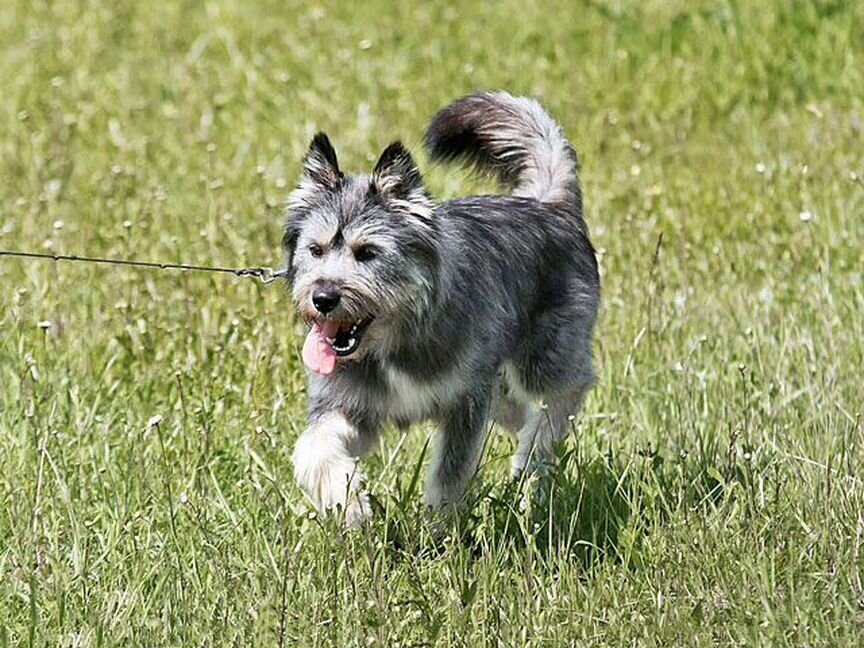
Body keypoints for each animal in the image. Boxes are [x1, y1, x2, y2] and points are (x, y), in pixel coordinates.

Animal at [284, 92, 600, 528]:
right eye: (315, 250)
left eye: (368, 252)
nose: (323, 299)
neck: (398, 339)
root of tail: (549, 205)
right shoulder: (350, 407)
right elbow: (312, 449)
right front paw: (349, 506)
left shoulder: (465, 401)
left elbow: (449, 474)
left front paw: (440, 532)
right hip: (497, 386)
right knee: (521, 412)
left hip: (543, 359)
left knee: (569, 392)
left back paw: (533, 457)